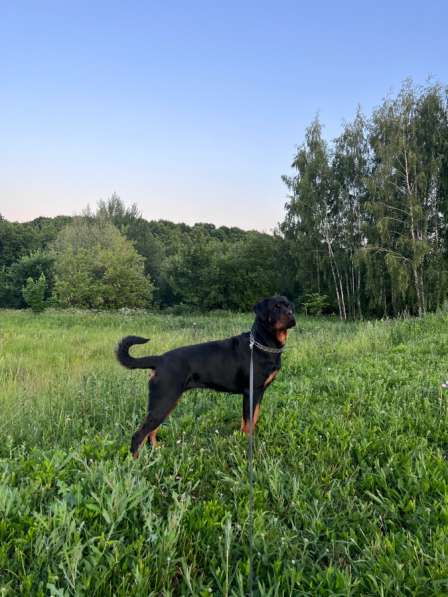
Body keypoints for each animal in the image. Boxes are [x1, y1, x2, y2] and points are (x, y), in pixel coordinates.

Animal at [117, 294, 296, 456]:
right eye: (276, 307)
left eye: (288, 306)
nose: (291, 314)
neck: (262, 343)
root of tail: (159, 359)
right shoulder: (250, 392)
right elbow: (248, 423)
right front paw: (248, 446)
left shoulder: (258, 394)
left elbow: (253, 420)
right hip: (164, 400)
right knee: (139, 435)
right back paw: (137, 463)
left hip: (167, 402)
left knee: (151, 432)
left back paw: (157, 452)